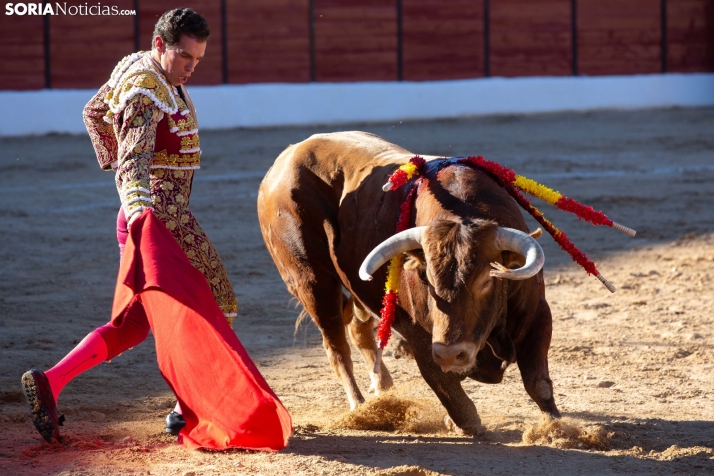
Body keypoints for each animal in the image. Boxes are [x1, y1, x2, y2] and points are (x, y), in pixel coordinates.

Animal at [258, 131, 560, 436]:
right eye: (425, 277)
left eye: (487, 279)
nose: (451, 354)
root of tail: (285, 159)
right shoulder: (420, 336)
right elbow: (454, 398)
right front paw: (458, 422)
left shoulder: (538, 313)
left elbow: (537, 383)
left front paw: (558, 427)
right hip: (310, 281)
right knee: (336, 346)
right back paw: (361, 408)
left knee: (358, 329)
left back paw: (384, 392)